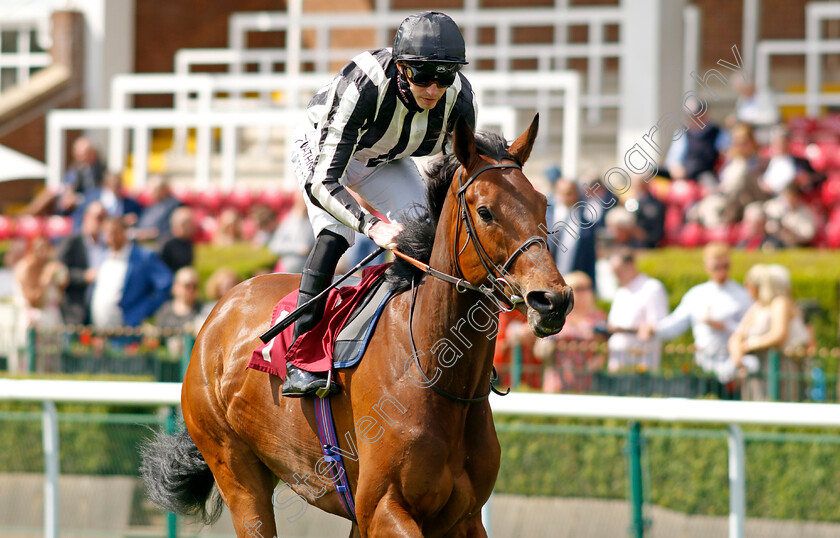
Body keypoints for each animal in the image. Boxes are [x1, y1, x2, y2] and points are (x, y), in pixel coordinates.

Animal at [144, 115, 576, 532]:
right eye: (485, 211)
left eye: (543, 204)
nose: (552, 300)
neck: (434, 371)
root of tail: (219, 310)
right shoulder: (383, 507)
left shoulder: (462, 518)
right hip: (236, 471)